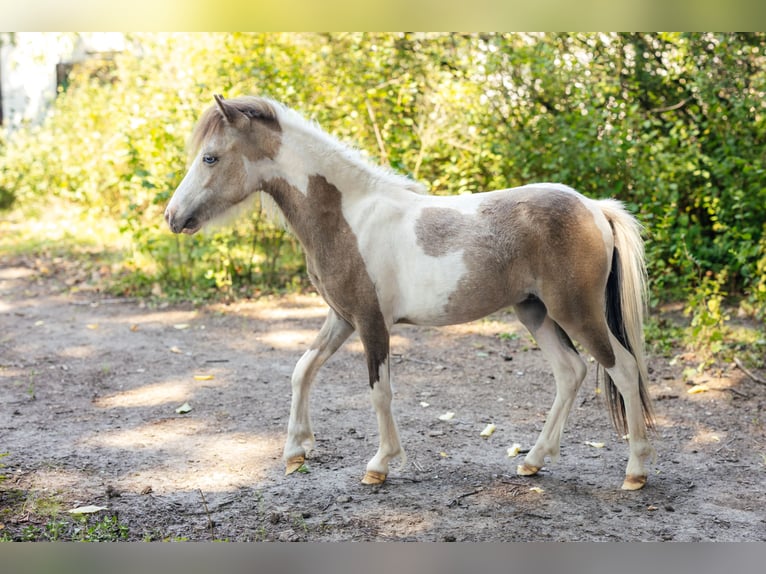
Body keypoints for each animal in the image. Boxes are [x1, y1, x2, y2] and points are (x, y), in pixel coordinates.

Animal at [165, 94, 655, 490]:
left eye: (210, 158)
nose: (173, 216)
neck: (347, 216)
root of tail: (596, 208)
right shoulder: (341, 318)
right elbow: (303, 370)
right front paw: (295, 451)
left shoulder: (370, 322)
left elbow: (379, 390)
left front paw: (380, 466)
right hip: (535, 312)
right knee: (570, 372)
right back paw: (533, 461)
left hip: (576, 312)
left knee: (624, 369)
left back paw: (635, 472)